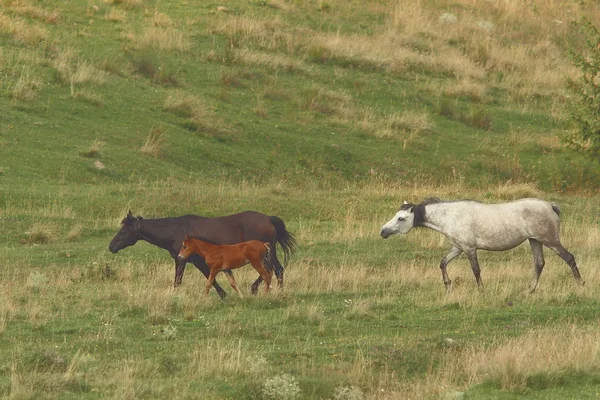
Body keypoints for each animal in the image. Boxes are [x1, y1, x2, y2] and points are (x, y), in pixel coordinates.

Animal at [109, 209, 296, 296]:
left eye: (124, 231)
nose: (111, 246)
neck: (176, 230)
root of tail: (268, 219)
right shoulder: (198, 261)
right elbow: (211, 279)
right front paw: (224, 295)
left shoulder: (182, 260)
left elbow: (178, 281)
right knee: (276, 270)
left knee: (274, 270)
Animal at [382, 198, 584, 292]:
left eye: (401, 218)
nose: (383, 231)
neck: (451, 216)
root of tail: (550, 206)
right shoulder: (458, 248)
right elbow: (443, 263)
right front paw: (448, 286)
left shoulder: (469, 249)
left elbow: (476, 270)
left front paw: (481, 290)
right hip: (534, 241)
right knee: (539, 263)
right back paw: (529, 290)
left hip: (550, 240)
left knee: (569, 258)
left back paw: (580, 284)